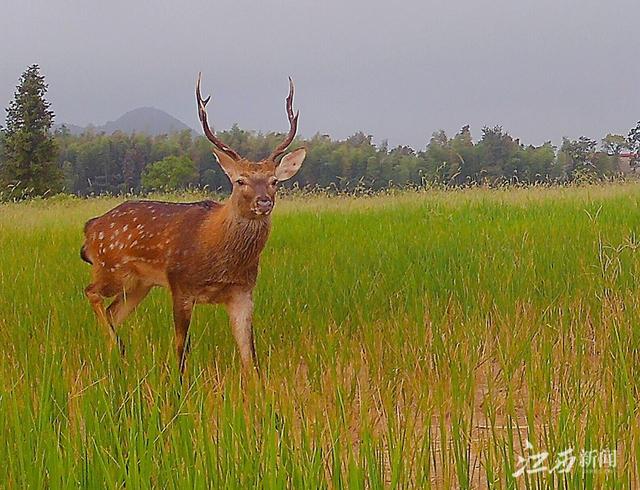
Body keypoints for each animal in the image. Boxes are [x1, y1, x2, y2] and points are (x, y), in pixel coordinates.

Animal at [81, 72, 306, 374]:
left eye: (274, 181)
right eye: (240, 180)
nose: (263, 202)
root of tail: (91, 227)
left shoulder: (243, 291)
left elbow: (250, 356)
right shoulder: (180, 284)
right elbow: (181, 349)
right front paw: (178, 383)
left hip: (140, 283)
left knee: (112, 312)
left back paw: (115, 358)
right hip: (110, 268)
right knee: (91, 293)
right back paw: (119, 348)